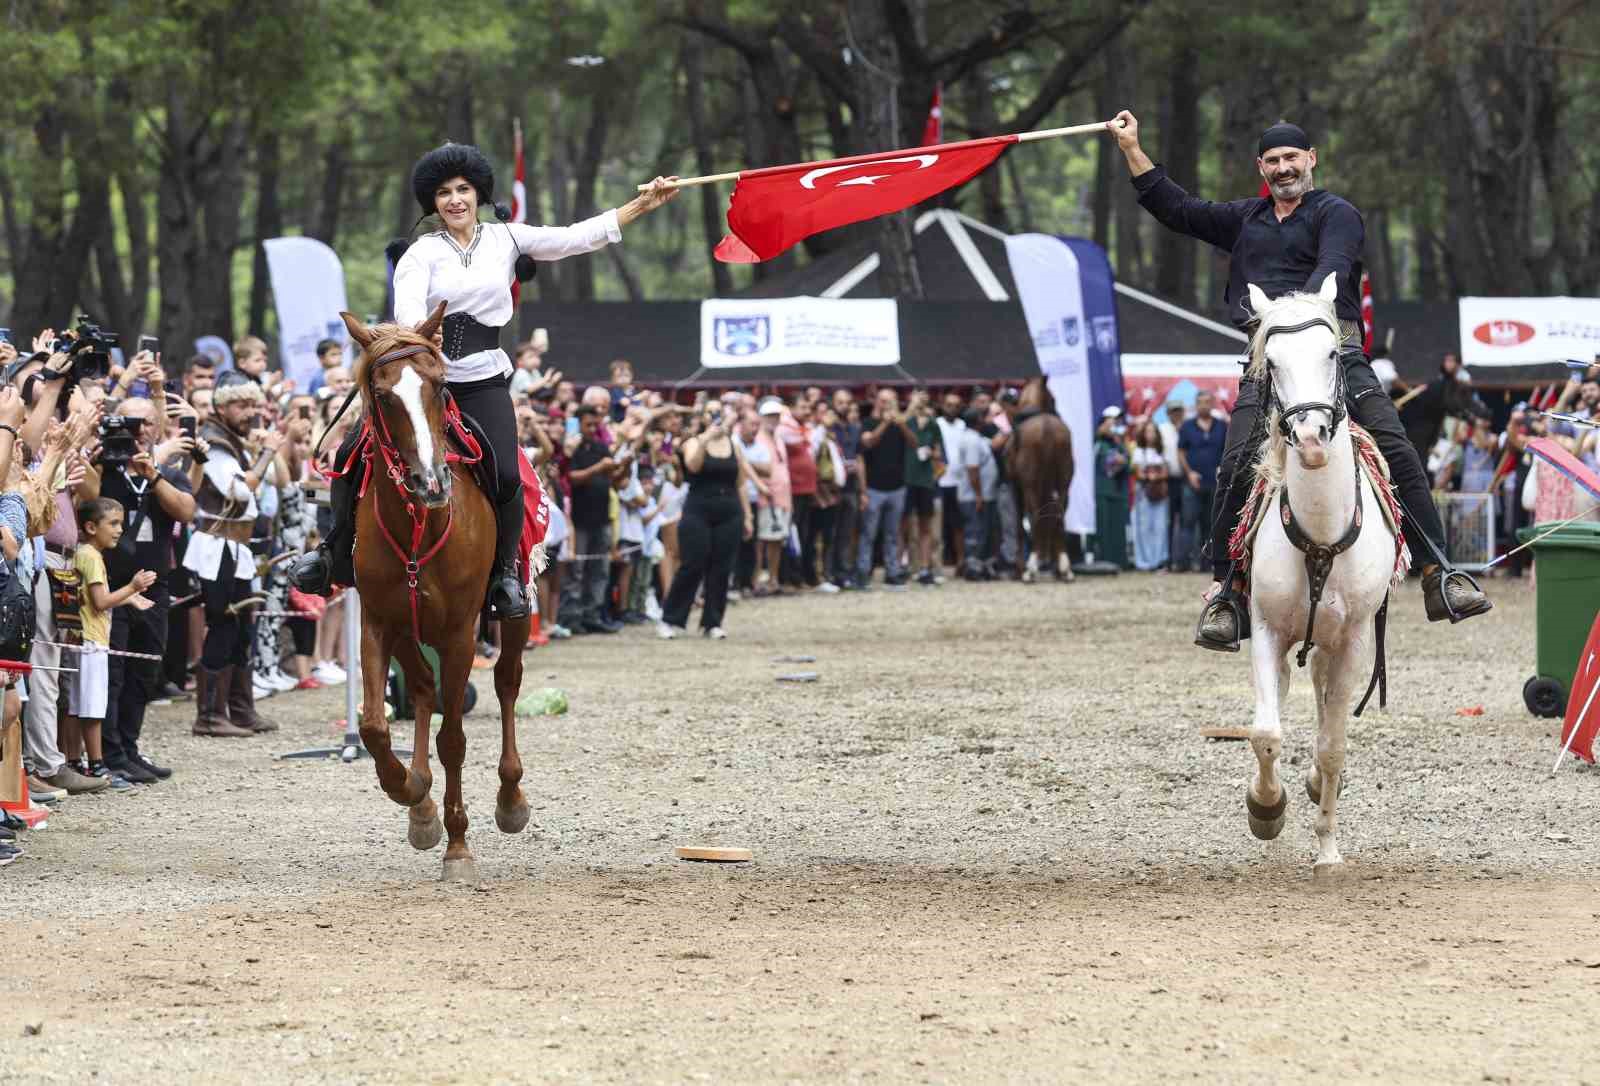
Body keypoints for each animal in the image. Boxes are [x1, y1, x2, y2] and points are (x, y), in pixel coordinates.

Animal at [340, 303, 534, 882]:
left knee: (507, 682)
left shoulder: (459, 632)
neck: (418, 526)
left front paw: (459, 846)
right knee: (423, 690)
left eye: (439, 385)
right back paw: (421, 805)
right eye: (383, 395)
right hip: (411, 628)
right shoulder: (381, 621)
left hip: (511, 616)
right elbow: (374, 725)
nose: (431, 483)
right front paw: (409, 792)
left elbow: (454, 739)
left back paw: (511, 801)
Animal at [1011, 377, 1075, 582]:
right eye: (1053, 398)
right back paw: (1065, 569)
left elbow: (1019, 525)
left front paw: (1020, 568)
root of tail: (1047, 427)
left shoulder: (1016, 487)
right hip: (1063, 482)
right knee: (1058, 514)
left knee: (1035, 516)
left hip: (1030, 485)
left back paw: (1030, 570)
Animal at [1235, 276, 1401, 876]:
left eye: (1332, 353)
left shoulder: (1353, 641)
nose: (1309, 439)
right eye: (1272, 361)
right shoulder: (1266, 630)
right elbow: (1266, 733)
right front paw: (1266, 807)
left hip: (1336, 644)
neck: (1322, 536)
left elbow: (1332, 746)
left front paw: (1327, 848)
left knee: (1328, 708)